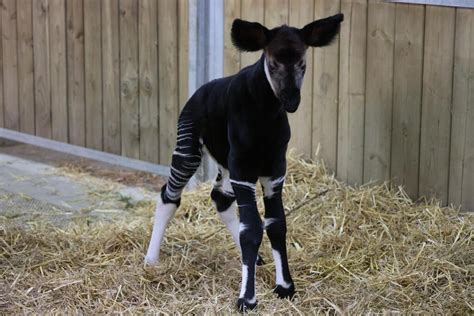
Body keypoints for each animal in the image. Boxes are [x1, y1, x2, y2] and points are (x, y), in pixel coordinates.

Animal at [145, 13, 344, 310]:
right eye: (272, 64)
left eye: (303, 64)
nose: (292, 101)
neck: (266, 115)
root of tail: (197, 93)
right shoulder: (245, 169)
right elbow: (251, 229)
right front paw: (247, 298)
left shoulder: (273, 171)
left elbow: (275, 224)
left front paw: (285, 286)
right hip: (190, 150)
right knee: (169, 195)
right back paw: (151, 259)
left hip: (228, 165)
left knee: (220, 198)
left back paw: (254, 258)